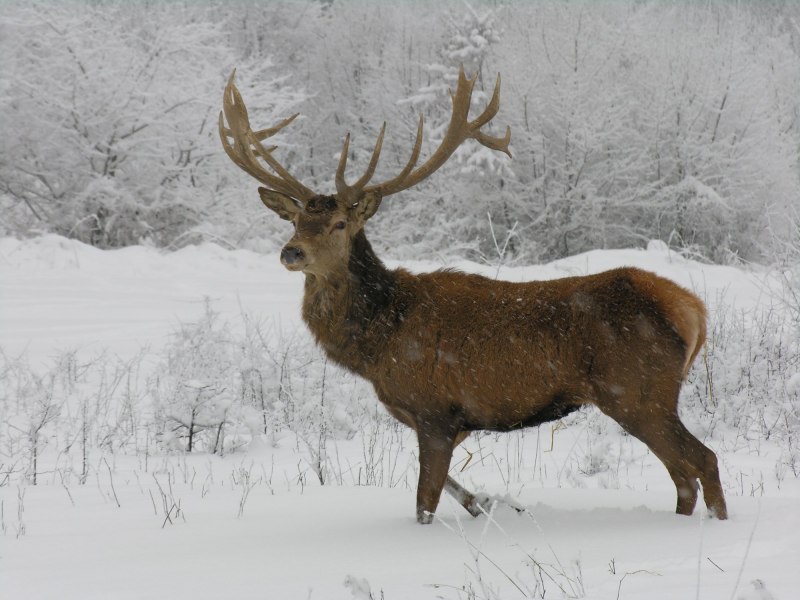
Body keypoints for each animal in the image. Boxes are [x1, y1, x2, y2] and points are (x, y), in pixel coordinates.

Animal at [219, 68, 728, 524]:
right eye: (295, 220)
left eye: (340, 223)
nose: (291, 251)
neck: (379, 341)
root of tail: (693, 310)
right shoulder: (445, 421)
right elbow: (447, 485)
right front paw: (486, 504)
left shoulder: (434, 411)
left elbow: (424, 500)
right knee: (683, 475)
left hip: (638, 393)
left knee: (702, 460)